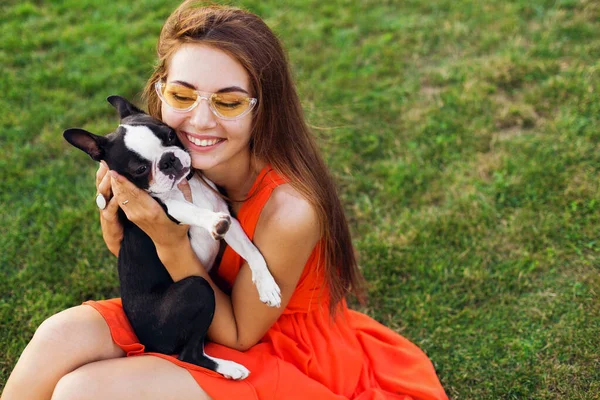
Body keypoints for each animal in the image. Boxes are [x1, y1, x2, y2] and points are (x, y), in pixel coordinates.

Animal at [63, 95, 282, 380]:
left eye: (169, 135)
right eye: (140, 168)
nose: (168, 160)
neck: (184, 186)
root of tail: (146, 344)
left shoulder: (229, 219)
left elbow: (252, 251)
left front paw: (266, 285)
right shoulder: (166, 210)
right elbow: (191, 210)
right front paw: (211, 222)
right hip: (198, 289)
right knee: (189, 354)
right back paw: (229, 367)